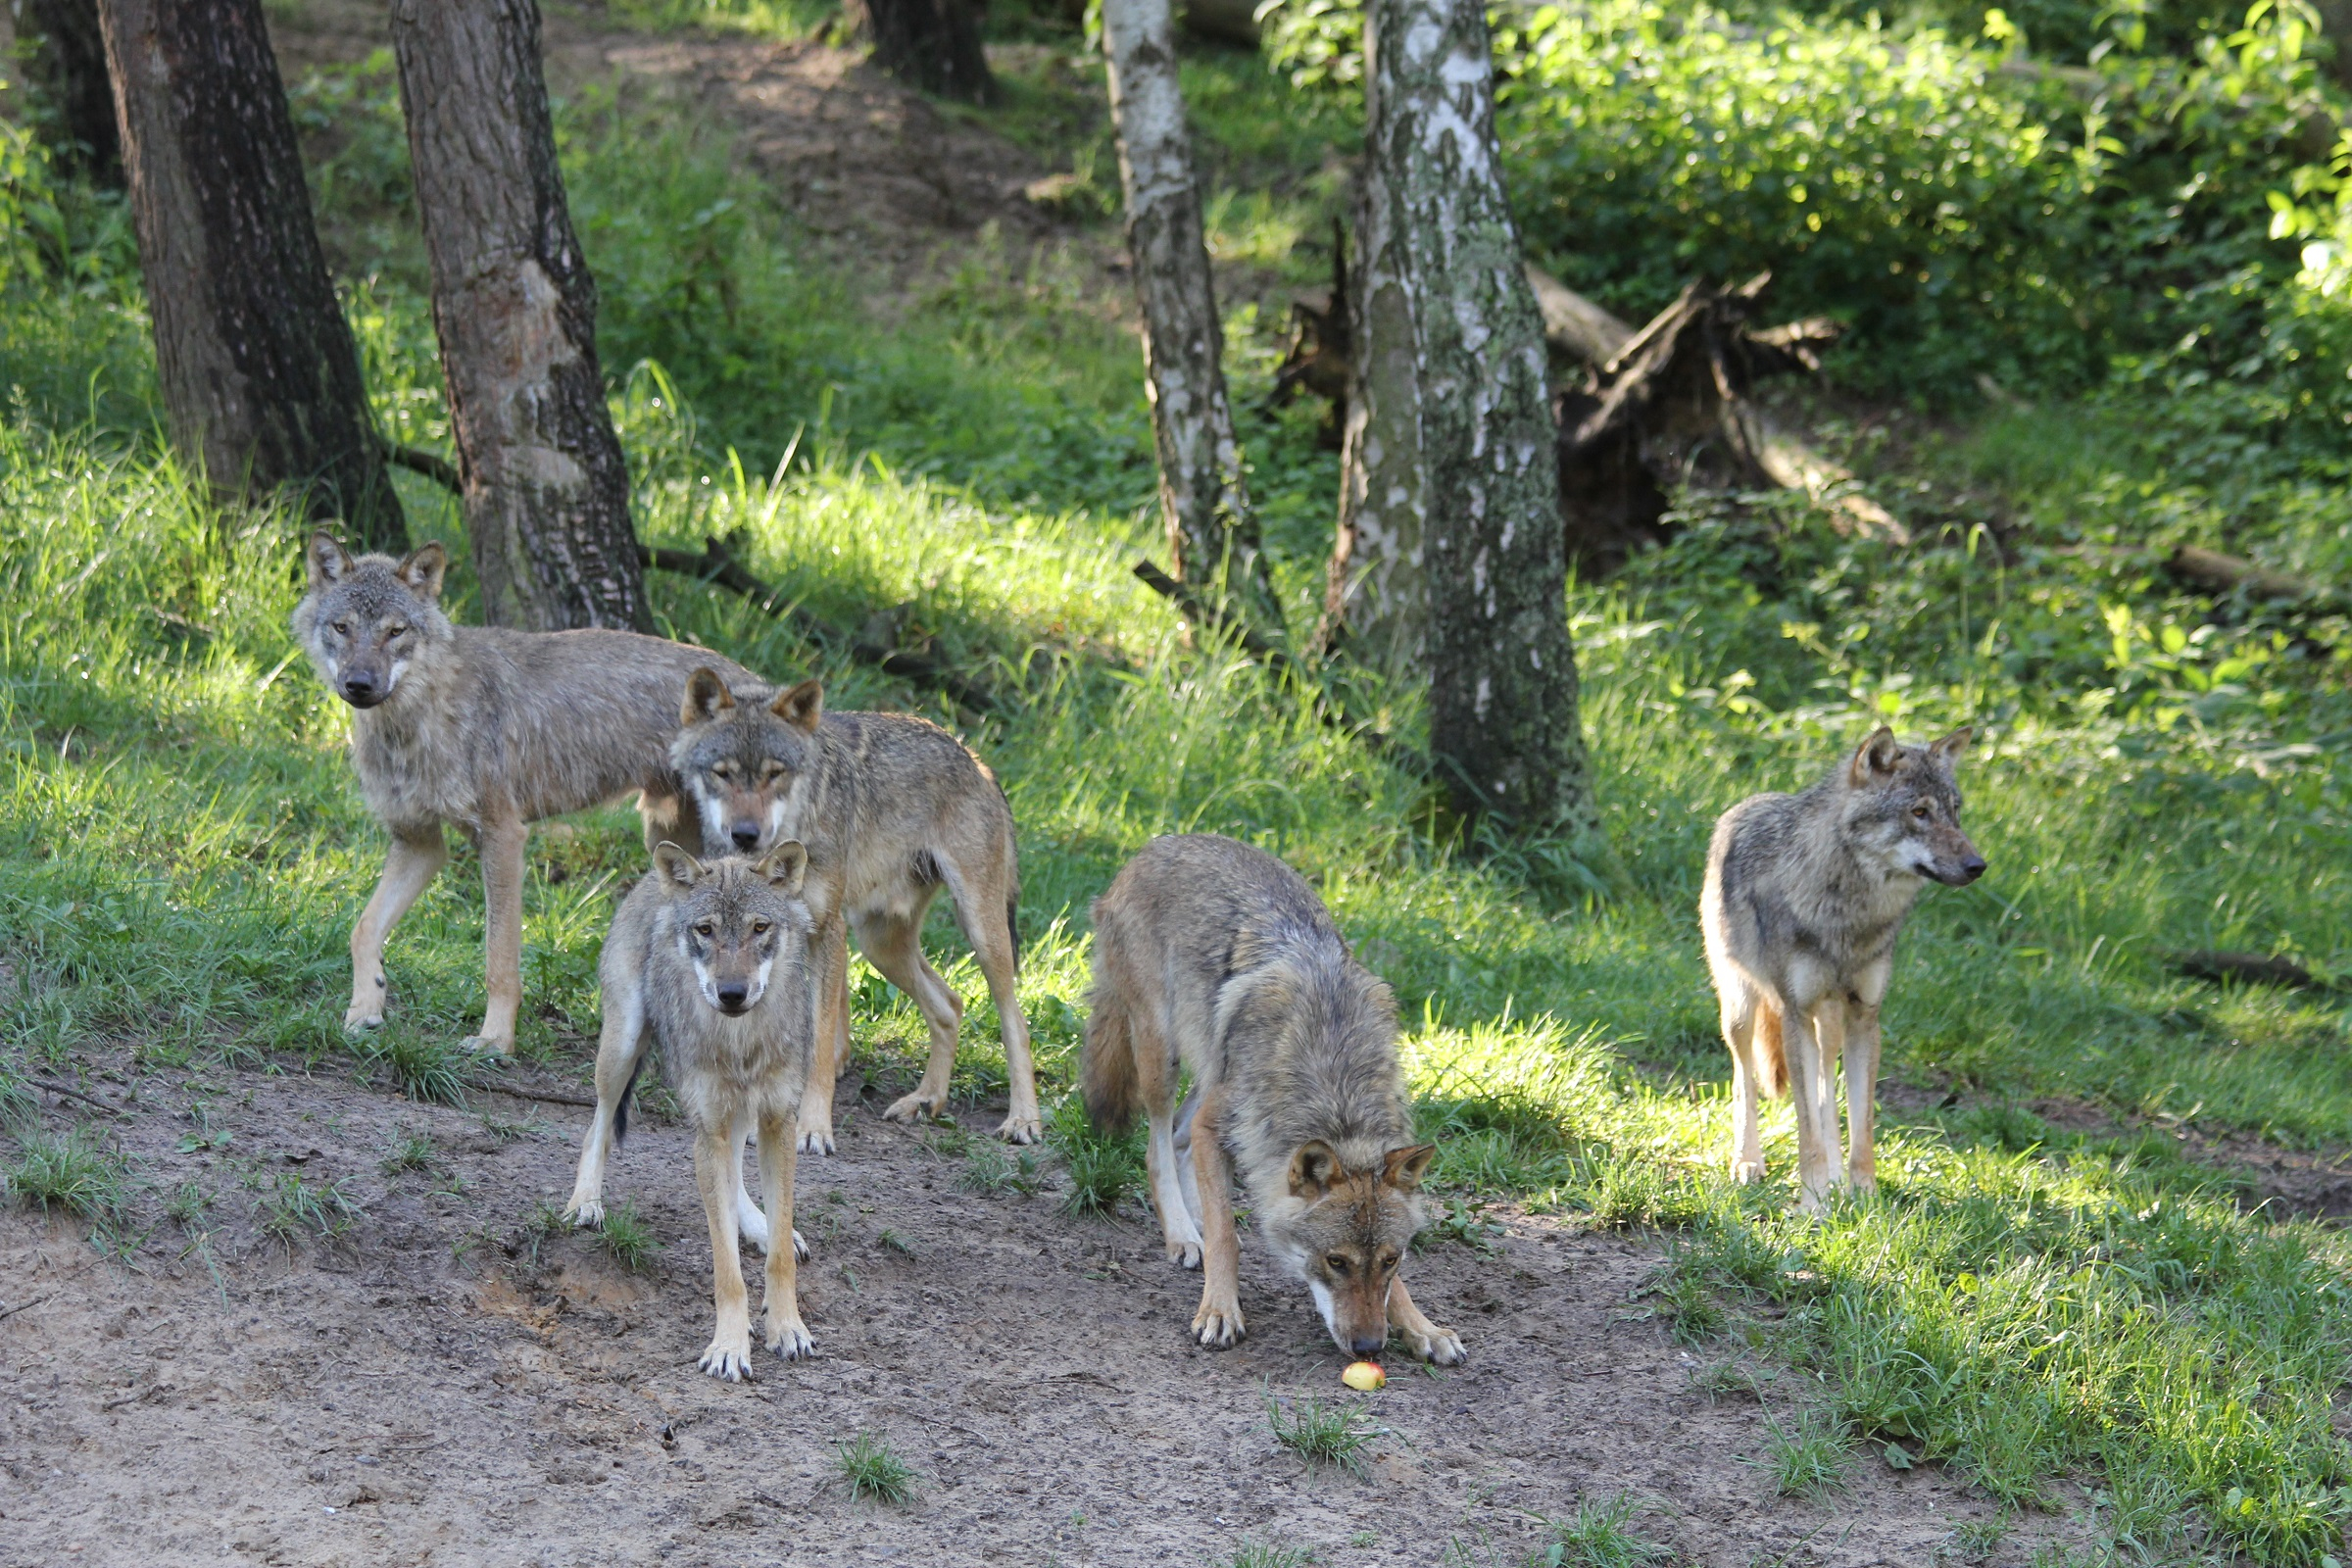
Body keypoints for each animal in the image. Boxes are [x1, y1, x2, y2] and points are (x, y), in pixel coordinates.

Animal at [291, 533, 756, 1053]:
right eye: (342, 627)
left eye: (395, 632)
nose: (359, 684)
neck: (420, 716)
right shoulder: (420, 843)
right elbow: (363, 930)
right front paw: (363, 1011)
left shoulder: (503, 837)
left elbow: (499, 960)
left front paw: (495, 1041)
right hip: (669, 846)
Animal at [564, 841, 818, 1381]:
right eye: (705, 930)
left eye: (759, 928)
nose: (732, 993)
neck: (741, 1042)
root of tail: (650, 879)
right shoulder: (708, 1129)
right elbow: (727, 1269)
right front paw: (729, 1346)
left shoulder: (778, 1122)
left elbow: (779, 1256)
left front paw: (787, 1327)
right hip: (622, 1049)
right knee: (597, 1124)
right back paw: (585, 1203)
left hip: (736, 1114)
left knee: (738, 1179)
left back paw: (758, 1227)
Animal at [669, 671, 1038, 1153]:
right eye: (723, 773)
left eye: (775, 773)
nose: (745, 834)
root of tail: (977, 760)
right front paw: (750, 1124)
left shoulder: (826, 930)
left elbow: (821, 1041)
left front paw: (813, 1128)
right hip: (880, 944)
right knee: (951, 1004)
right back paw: (926, 1100)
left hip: (981, 934)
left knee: (1015, 1020)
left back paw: (1023, 1119)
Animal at [1081, 834, 1465, 1364]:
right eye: (1336, 1262)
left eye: (1390, 1259)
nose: (1370, 1347)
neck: (1333, 1084)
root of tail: (1156, 845)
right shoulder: (1216, 1124)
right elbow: (1227, 1237)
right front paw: (1219, 1311)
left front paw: (1422, 1327)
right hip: (1162, 1057)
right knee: (1156, 1146)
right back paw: (1182, 1233)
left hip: (1210, 1067)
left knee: (1180, 1139)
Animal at [1701, 725, 1985, 1210]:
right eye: (1919, 812)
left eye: (1956, 811)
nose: (1977, 866)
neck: (1847, 914)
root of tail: (1748, 802)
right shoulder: (1795, 1014)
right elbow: (1805, 1129)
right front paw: (1812, 1203)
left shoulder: (1865, 1017)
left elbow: (1859, 1123)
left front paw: (1864, 1195)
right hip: (1741, 1009)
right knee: (1745, 1082)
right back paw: (1748, 1162)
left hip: (1829, 1022)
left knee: (1825, 1092)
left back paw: (1834, 1176)